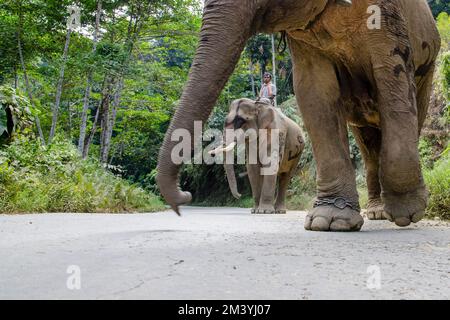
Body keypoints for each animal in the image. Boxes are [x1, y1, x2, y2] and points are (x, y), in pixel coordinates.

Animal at [155, 0, 440, 231]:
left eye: (240, 122)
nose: (185, 197)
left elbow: (391, 76)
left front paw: (406, 213)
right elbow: (314, 92)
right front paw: (329, 221)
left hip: (429, 66)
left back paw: (389, 213)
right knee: (367, 144)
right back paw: (376, 212)